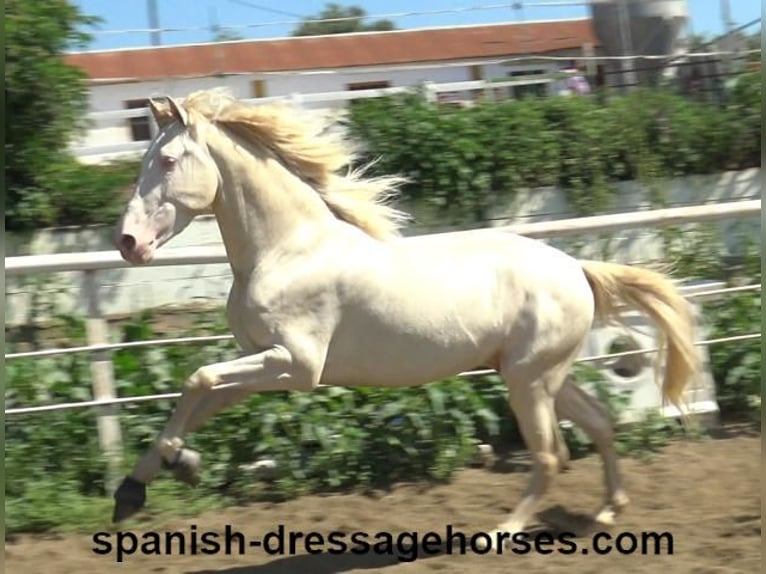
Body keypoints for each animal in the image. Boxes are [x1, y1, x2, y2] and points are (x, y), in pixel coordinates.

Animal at [112, 90, 704, 544]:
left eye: (167, 161)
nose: (128, 243)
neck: (287, 251)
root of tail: (577, 268)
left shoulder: (296, 366)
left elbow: (197, 379)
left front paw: (161, 474)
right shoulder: (261, 362)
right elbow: (199, 398)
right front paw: (146, 482)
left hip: (529, 381)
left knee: (550, 454)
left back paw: (500, 532)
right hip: (541, 374)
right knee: (599, 423)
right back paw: (606, 512)